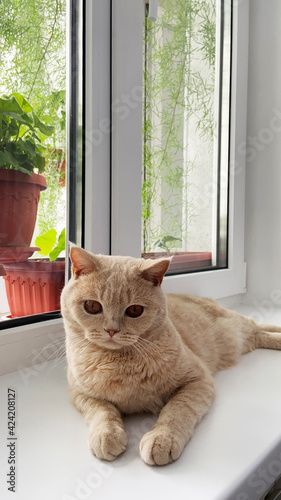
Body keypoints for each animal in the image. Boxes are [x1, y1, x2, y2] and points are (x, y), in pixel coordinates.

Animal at [60, 245, 280, 464]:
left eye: (134, 310)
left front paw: (162, 438)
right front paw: (106, 434)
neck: (119, 362)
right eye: (92, 306)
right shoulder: (79, 393)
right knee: (260, 334)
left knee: (260, 327)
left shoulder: (197, 380)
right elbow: (102, 411)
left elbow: (177, 409)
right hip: (244, 339)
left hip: (239, 328)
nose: (111, 330)